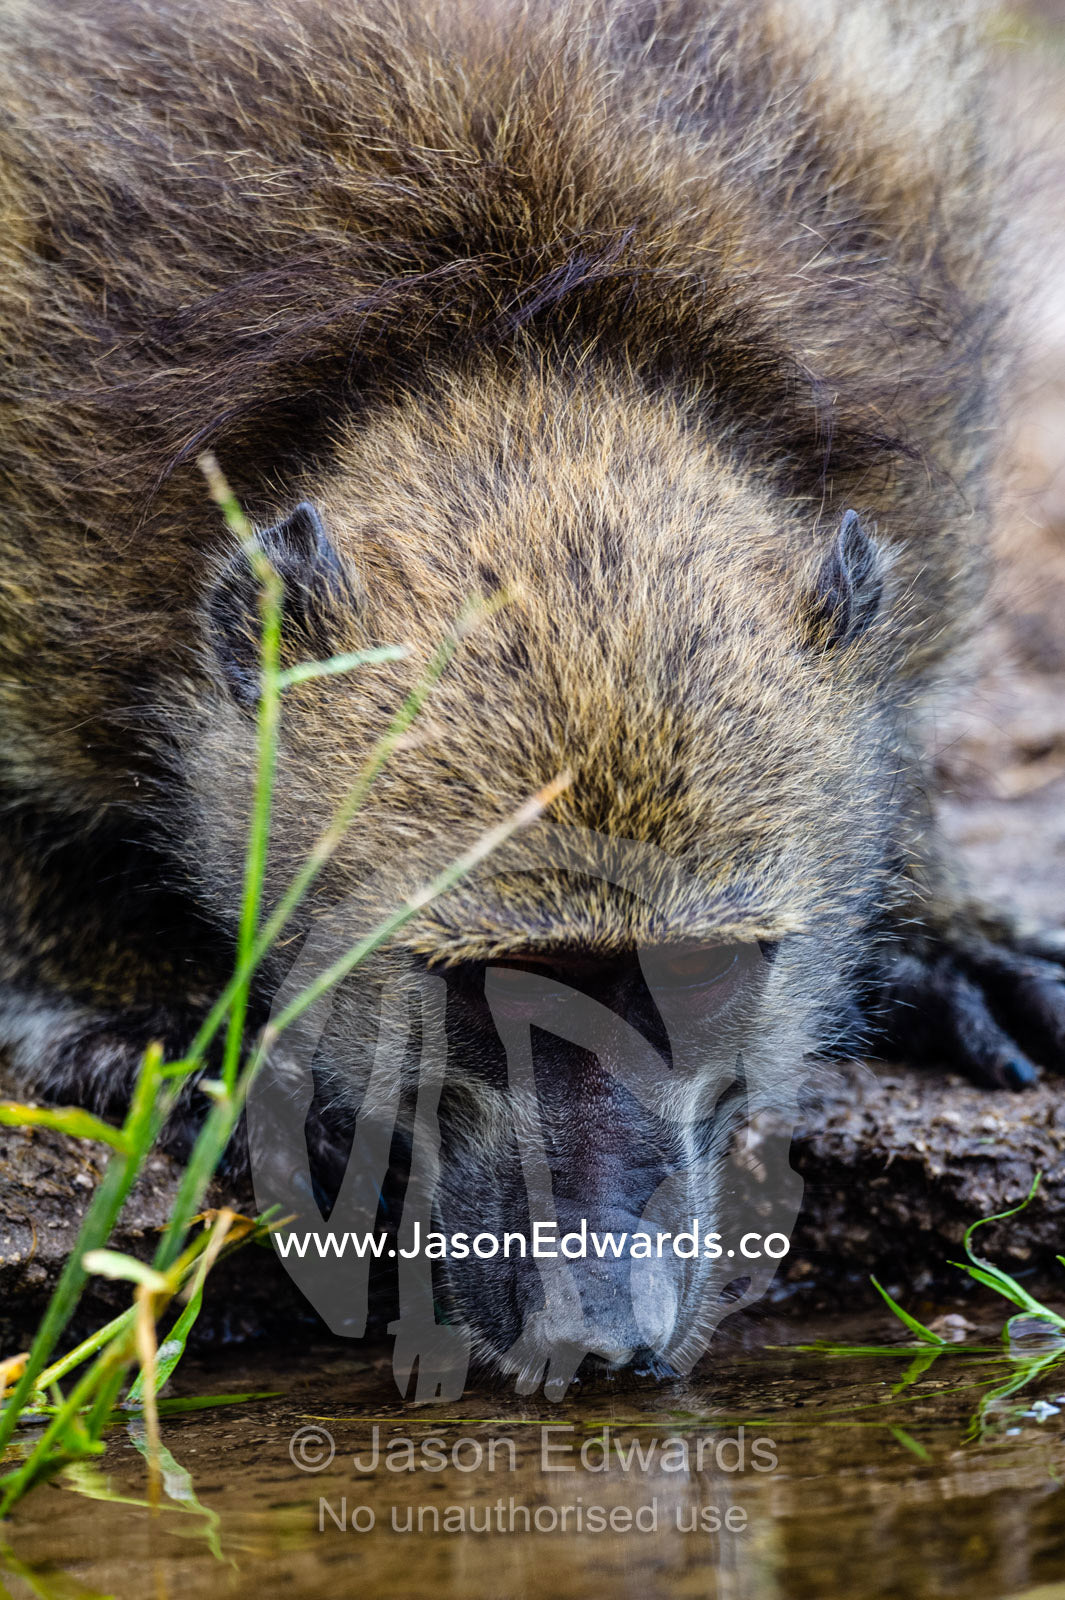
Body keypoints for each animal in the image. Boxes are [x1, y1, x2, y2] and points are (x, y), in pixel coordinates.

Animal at [0, 0, 1061, 1381]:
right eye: (486, 985)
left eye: (700, 976)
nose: (609, 1332)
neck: (511, 330)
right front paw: (152, 1021)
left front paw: (936, 929)